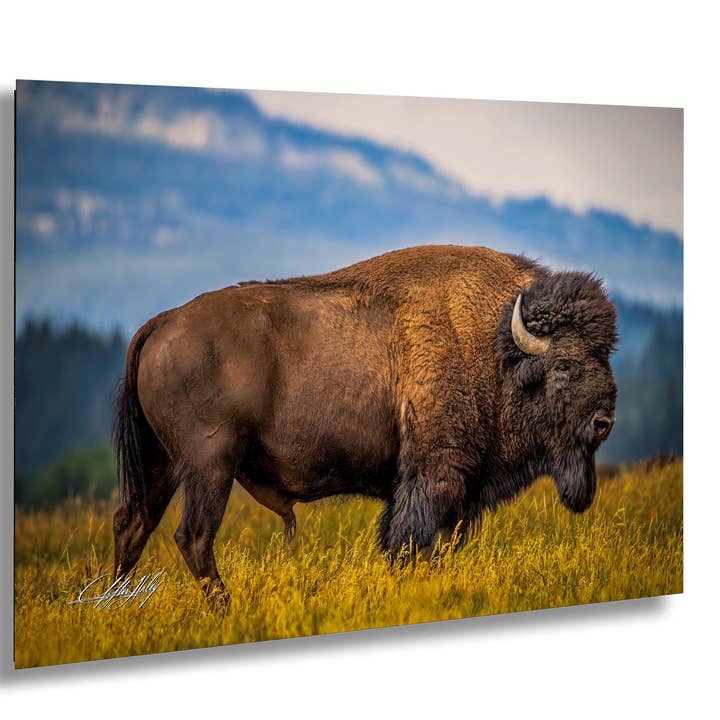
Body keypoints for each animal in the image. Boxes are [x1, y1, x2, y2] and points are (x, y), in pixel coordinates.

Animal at [112, 245, 618, 606]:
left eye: (605, 356)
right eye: (565, 365)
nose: (604, 421)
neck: (495, 347)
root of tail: (160, 323)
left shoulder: (454, 495)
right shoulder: (435, 477)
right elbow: (409, 543)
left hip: (163, 465)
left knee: (132, 524)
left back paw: (117, 605)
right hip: (209, 464)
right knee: (193, 536)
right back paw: (224, 607)